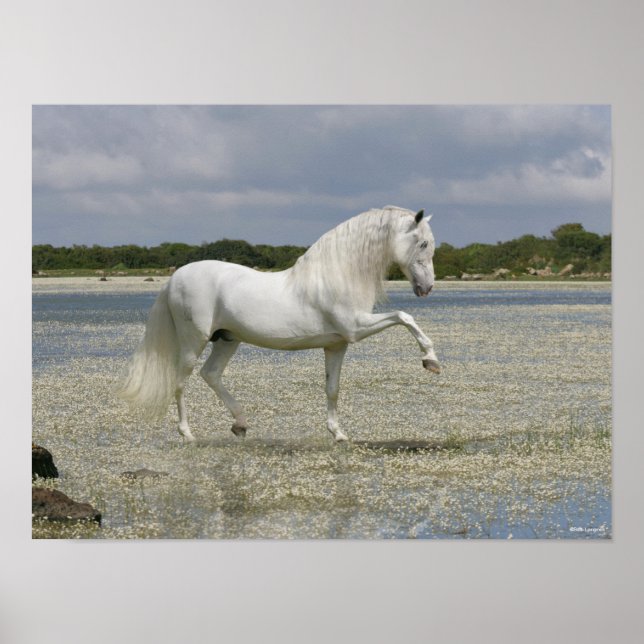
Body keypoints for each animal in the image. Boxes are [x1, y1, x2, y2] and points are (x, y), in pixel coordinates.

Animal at [116, 206, 440, 442]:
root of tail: (174, 279)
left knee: (211, 374)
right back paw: (187, 434)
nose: (427, 288)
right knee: (181, 382)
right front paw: (430, 360)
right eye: (423, 243)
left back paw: (240, 424)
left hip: (228, 339)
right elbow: (404, 317)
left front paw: (338, 434)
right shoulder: (356, 328)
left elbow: (332, 388)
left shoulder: (337, 345)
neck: (336, 274)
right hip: (192, 341)